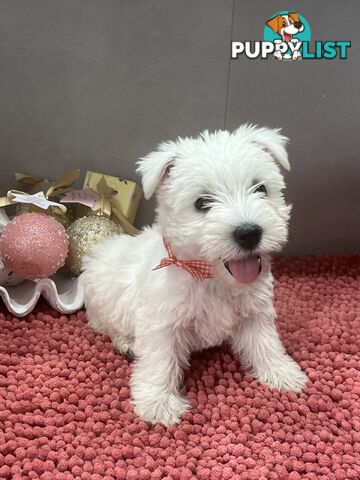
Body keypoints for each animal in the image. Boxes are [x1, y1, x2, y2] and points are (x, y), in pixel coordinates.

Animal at [81, 125, 306, 426]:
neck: (211, 277)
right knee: (105, 325)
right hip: (105, 297)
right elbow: (160, 359)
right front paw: (158, 404)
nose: (249, 233)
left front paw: (283, 373)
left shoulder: (255, 311)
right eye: (202, 203)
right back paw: (126, 342)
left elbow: (265, 342)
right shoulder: (163, 322)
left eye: (260, 188)